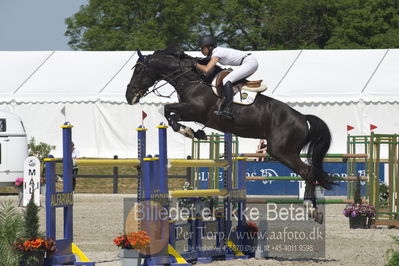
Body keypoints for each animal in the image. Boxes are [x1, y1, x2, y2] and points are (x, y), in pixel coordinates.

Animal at [126, 46, 336, 222]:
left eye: (138, 71)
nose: (129, 97)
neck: (192, 79)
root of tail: (303, 118)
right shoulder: (189, 112)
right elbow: (170, 113)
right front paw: (195, 132)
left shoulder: (195, 110)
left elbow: (167, 109)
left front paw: (187, 131)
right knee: (311, 171)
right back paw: (315, 211)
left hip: (281, 151)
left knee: (308, 172)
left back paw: (311, 209)